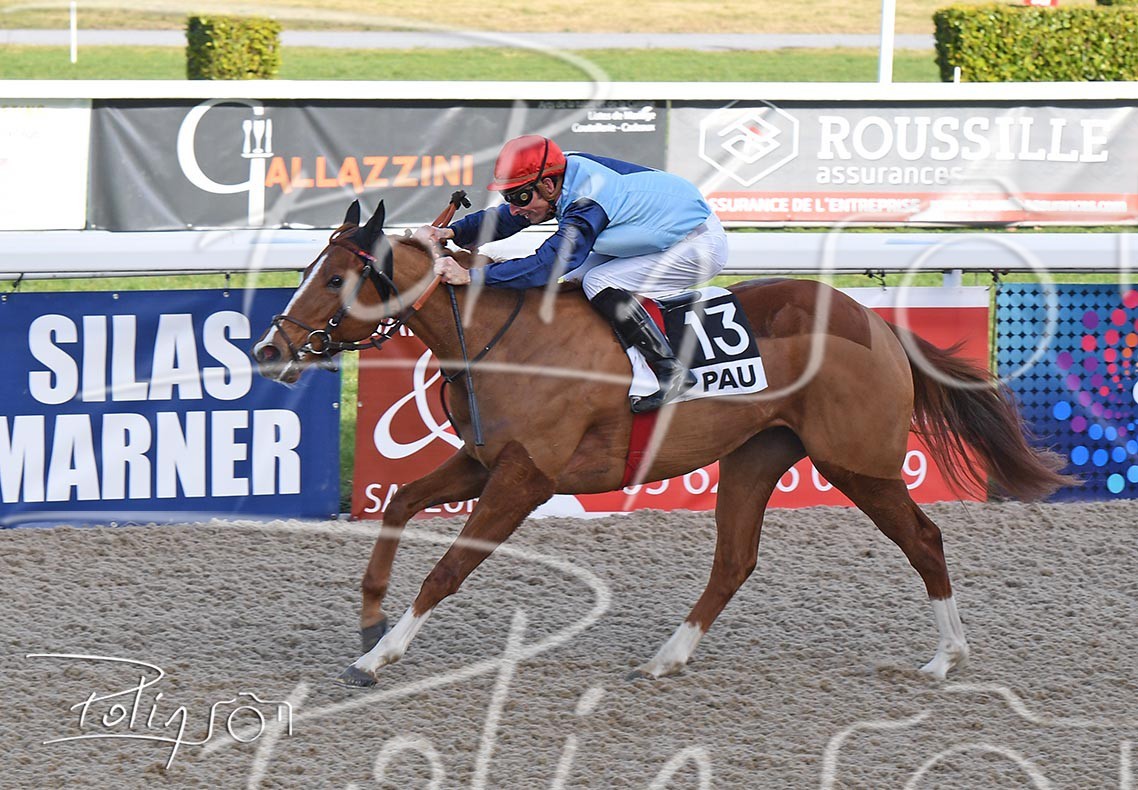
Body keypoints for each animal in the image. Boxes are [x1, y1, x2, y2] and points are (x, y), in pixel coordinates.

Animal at [251, 199, 1072, 688]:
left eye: (334, 278)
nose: (268, 349)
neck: (494, 335)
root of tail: (876, 323)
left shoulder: (525, 478)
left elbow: (449, 569)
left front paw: (382, 656)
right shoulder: (482, 461)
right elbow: (399, 506)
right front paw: (370, 621)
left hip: (858, 462)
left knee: (925, 539)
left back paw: (946, 656)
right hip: (756, 454)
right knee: (735, 559)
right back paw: (669, 654)